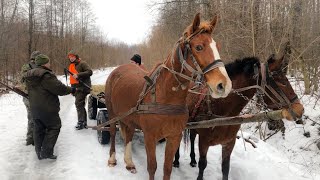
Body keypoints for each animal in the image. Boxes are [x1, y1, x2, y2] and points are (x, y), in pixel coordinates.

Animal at [105, 13, 232, 180]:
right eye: (199, 47)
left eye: (217, 47)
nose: (223, 85)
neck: (166, 98)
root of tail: (118, 70)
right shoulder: (150, 136)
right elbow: (152, 167)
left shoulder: (174, 137)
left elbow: (167, 168)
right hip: (112, 113)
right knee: (113, 132)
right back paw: (112, 159)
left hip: (128, 116)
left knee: (129, 135)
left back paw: (129, 162)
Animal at [174, 53, 304, 180]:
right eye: (281, 81)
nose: (300, 109)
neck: (224, 114)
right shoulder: (204, 142)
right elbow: (202, 165)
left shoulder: (229, 143)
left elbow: (225, 168)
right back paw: (176, 161)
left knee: (191, 138)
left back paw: (192, 160)